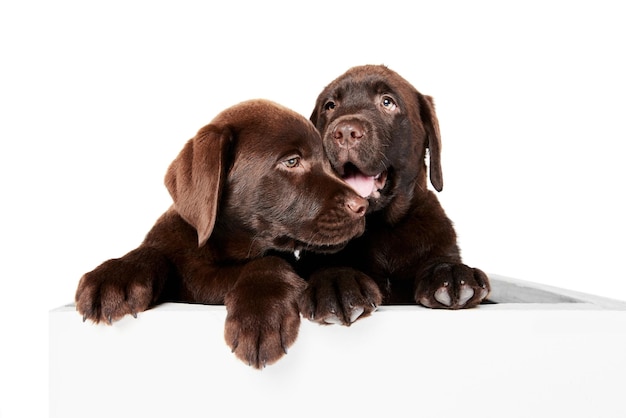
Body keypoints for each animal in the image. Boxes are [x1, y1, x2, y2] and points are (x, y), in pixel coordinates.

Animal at [74, 99, 366, 368]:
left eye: (328, 164)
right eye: (292, 161)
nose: (362, 206)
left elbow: (270, 260)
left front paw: (260, 312)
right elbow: (152, 251)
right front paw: (115, 275)